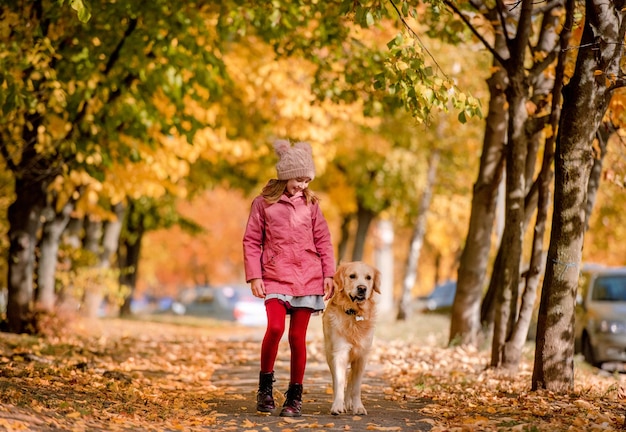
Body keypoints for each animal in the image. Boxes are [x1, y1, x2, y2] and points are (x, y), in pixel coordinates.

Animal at [324, 260, 378, 416]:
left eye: (368, 277)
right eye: (352, 276)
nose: (362, 288)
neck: (355, 314)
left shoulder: (361, 356)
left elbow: (356, 387)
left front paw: (358, 407)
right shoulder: (340, 353)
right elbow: (339, 382)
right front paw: (337, 405)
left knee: (351, 380)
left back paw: (348, 403)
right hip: (329, 354)